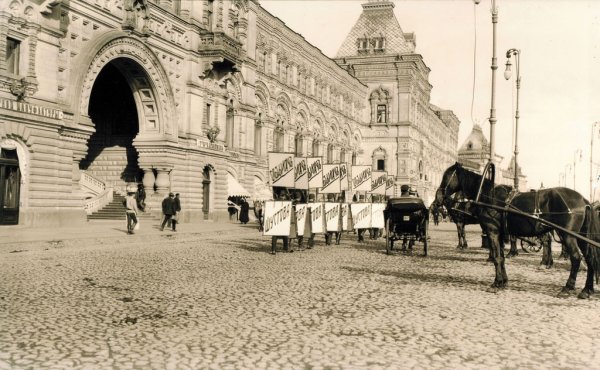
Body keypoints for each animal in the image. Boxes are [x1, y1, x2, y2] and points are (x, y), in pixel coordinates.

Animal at [436, 163, 600, 300]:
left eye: (446, 176)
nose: (438, 197)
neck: (488, 196)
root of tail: (583, 200)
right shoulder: (499, 234)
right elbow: (501, 257)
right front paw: (503, 281)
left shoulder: (492, 231)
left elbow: (496, 257)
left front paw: (496, 283)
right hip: (581, 236)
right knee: (590, 259)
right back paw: (586, 290)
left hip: (568, 235)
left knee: (576, 258)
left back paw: (568, 287)